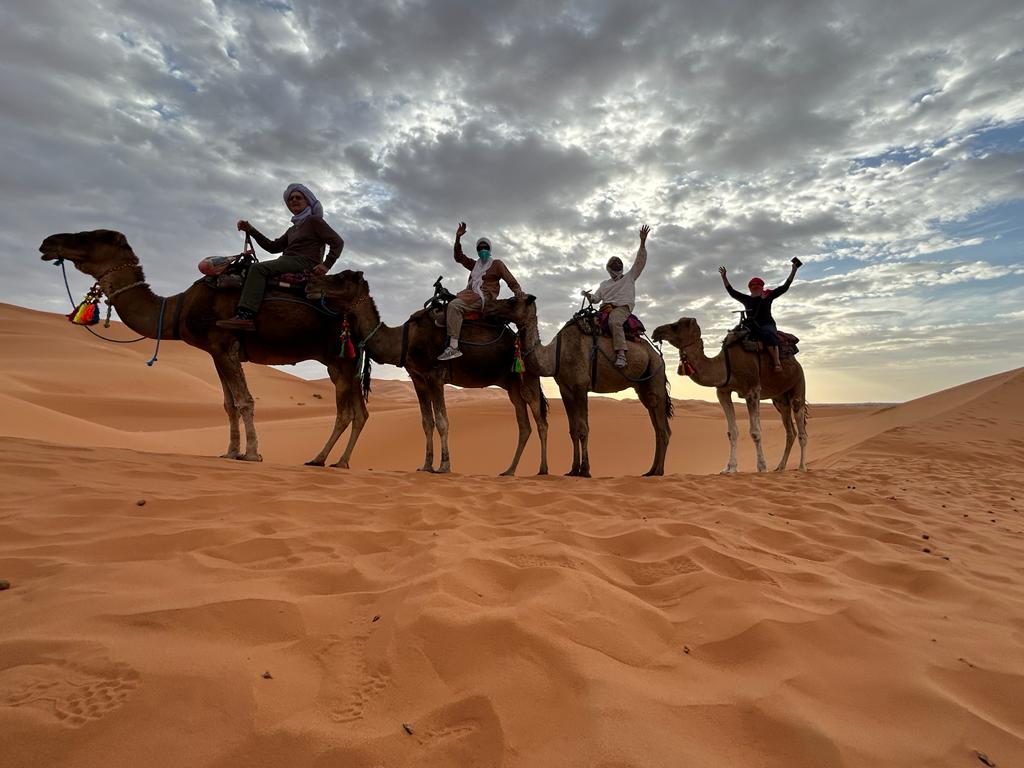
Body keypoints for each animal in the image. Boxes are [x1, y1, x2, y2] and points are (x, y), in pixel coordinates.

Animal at [39, 228, 368, 466]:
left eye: (91, 236)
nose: (47, 242)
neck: (177, 308)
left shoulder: (224, 343)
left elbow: (244, 401)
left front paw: (252, 454)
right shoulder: (215, 351)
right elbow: (228, 404)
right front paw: (230, 452)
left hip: (341, 357)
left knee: (348, 412)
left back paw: (323, 460)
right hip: (341, 362)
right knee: (360, 412)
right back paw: (340, 462)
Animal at [303, 268, 548, 475]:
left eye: (341, 277)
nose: (310, 284)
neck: (404, 339)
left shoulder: (435, 375)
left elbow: (442, 420)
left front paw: (444, 466)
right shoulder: (417, 377)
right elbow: (426, 422)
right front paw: (426, 466)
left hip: (527, 377)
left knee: (540, 420)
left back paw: (542, 470)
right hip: (511, 384)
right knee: (524, 425)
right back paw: (509, 471)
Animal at [520, 305, 671, 475]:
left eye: (512, 303)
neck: (556, 355)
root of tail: (658, 355)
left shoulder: (581, 386)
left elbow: (583, 429)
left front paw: (585, 471)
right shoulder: (565, 390)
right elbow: (573, 430)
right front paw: (573, 470)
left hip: (656, 376)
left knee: (663, 429)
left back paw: (659, 471)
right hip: (644, 387)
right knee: (657, 426)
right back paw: (650, 471)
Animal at [651, 315, 802, 473]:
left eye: (675, 326)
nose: (656, 332)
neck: (725, 365)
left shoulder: (753, 391)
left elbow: (755, 432)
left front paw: (762, 467)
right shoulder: (723, 391)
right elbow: (732, 431)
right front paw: (730, 468)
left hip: (798, 382)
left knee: (801, 424)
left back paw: (802, 467)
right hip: (779, 399)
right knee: (791, 431)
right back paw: (781, 467)